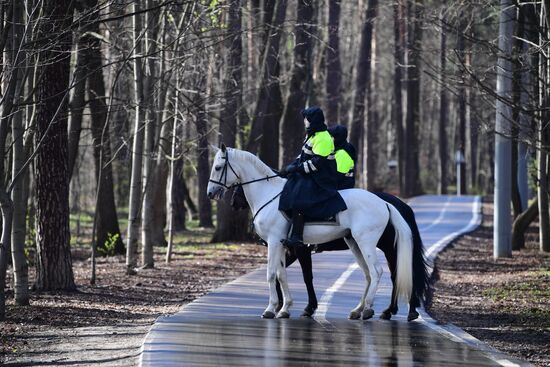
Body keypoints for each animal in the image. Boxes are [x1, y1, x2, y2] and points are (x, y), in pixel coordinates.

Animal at [208, 145, 414, 320]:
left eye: (218, 167)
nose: (210, 193)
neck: (269, 195)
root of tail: (383, 202)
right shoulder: (282, 245)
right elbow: (282, 275)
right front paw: (284, 309)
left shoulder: (275, 242)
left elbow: (272, 274)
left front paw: (271, 308)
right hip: (354, 243)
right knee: (368, 274)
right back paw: (359, 309)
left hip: (368, 243)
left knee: (378, 272)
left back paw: (371, 309)